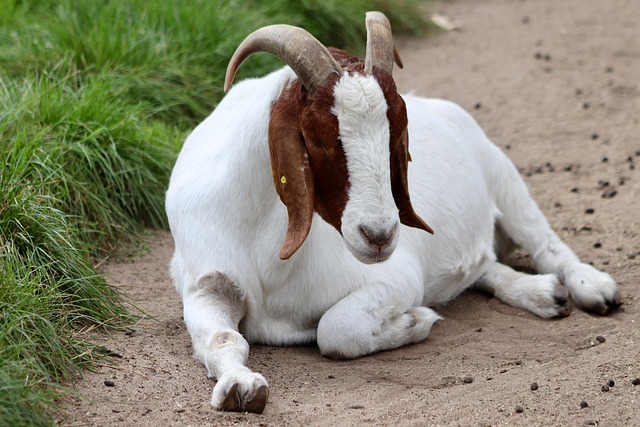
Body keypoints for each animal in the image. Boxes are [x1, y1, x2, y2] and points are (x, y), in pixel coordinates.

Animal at [165, 12, 620, 414]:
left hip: (504, 177)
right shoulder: (206, 285)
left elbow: (335, 329)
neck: (265, 244)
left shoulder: (397, 278)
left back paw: (590, 288)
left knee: (546, 244)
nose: (379, 235)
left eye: (397, 136)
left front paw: (413, 322)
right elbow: (222, 339)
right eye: (317, 138)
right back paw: (541, 293)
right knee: (483, 265)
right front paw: (240, 387)